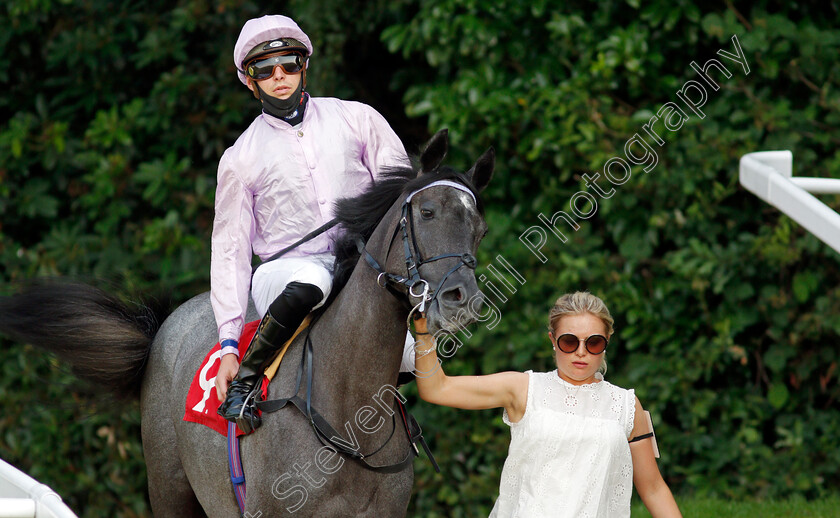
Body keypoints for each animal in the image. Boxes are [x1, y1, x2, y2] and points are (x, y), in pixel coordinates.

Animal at [0, 128, 492, 516]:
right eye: (426, 212)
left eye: (480, 229)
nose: (462, 299)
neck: (348, 417)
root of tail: (165, 327)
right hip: (169, 488)